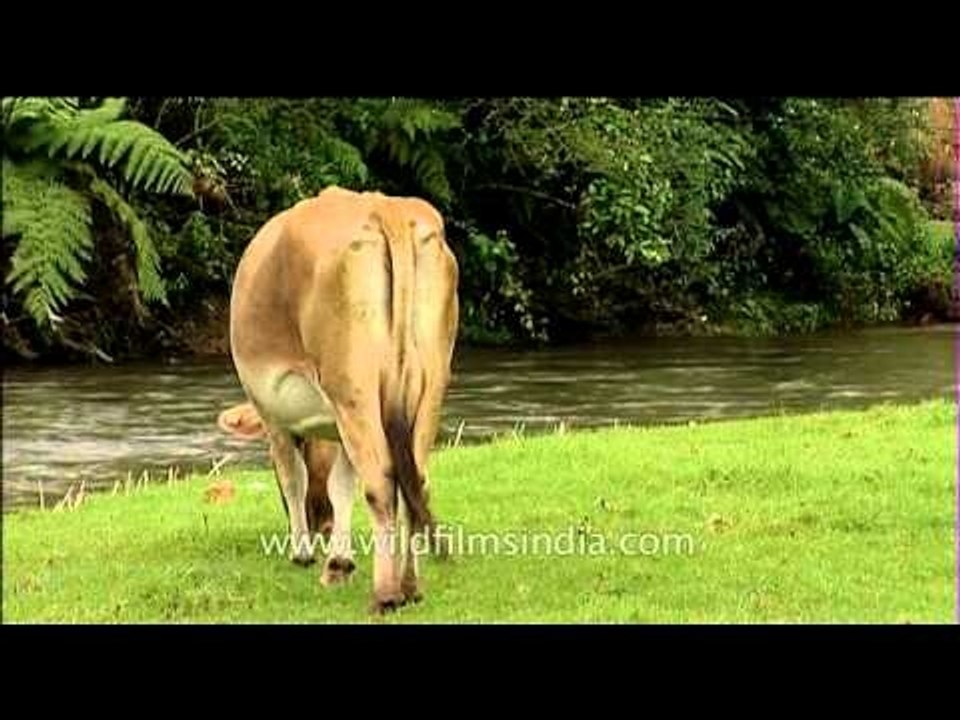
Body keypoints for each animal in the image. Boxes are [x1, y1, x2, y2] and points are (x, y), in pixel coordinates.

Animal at [225, 186, 459, 613]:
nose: (319, 526)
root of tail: (385, 207)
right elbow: (342, 485)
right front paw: (339, 561)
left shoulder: (272, 417)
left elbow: (294, 477)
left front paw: (303, 553)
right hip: (429, 386)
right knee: (415, 480)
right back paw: (410, 586)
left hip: (354, 390)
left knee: (381, 483)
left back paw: (385, 594)